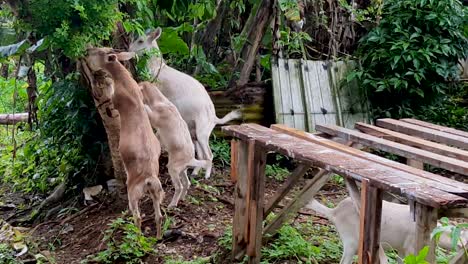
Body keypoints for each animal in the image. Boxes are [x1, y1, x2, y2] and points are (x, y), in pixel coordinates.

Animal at [84, 48, 165, 239]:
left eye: (98, 51)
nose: (86, 50)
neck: (124, 80)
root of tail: (149, 178)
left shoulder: (115, 100)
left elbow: (110, 98)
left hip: (133, 193)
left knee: (138, 217)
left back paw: (138, 237)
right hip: (156, 191)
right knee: (158, 216)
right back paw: (158, 237)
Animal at [130, 27, 243, 176]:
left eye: (140, 40)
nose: (129, 49)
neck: (157, 68)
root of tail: (214, 117)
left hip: (202, 131)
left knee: (209, 154)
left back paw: (206, 175)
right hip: (194, 132)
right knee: (200, 153)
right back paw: (194, 172)